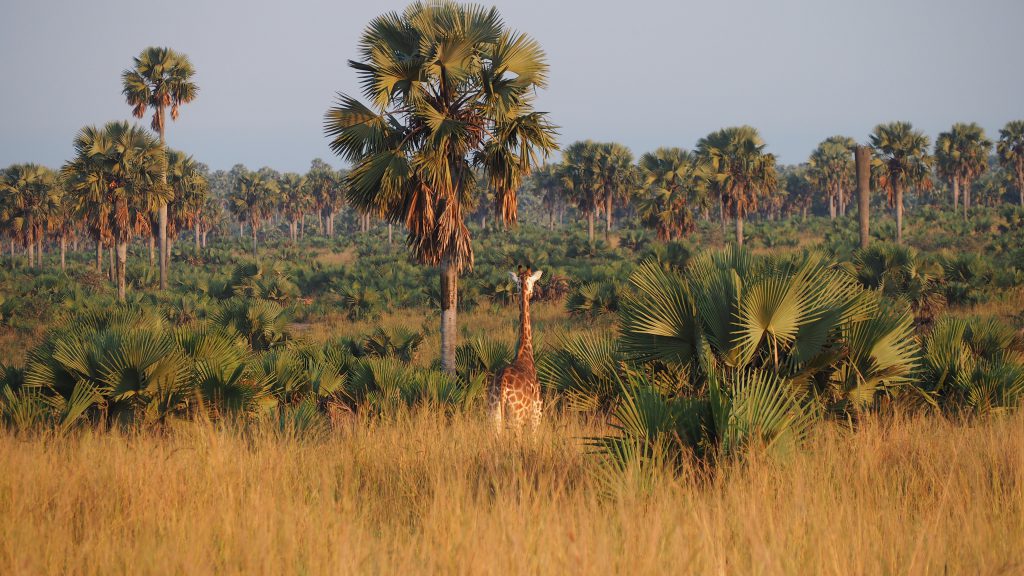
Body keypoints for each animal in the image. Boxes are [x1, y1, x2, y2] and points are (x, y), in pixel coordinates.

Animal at [489, 265, 543, 433]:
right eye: (534, 283)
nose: (533, 294)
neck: (525, 351)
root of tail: (503, 386)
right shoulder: (536, 415)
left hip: (493, 415)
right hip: (517, 418)